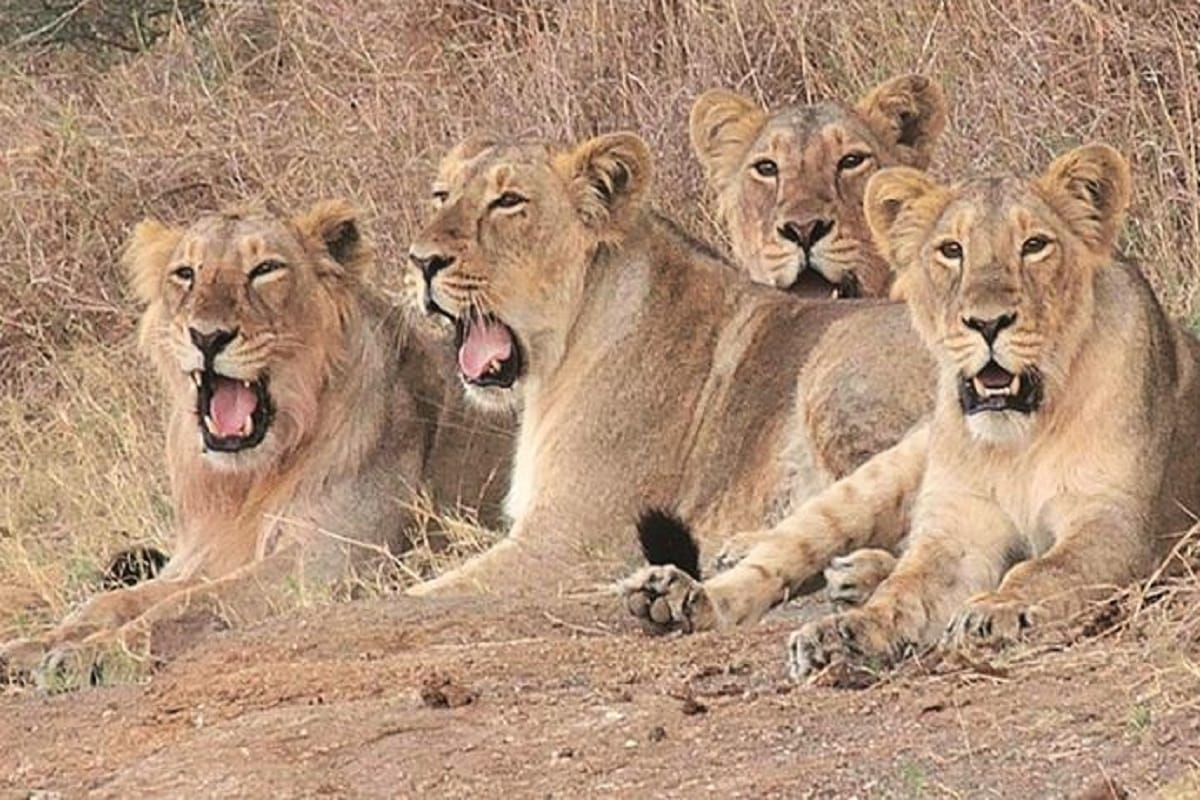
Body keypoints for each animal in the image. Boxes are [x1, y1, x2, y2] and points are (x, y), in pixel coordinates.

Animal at [0, 200, 510, 686]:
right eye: (185, 273)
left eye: (265, 269)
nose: (207, 336)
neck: (247, 479)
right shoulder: (205, 556)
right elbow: (114, 601)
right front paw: (31, 646)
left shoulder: (330, 559)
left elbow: (189, 603)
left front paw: (89, 655)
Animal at [403, 131, 933, 598]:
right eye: (441, 195)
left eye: (508, 201)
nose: (421, 261)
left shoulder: (572, 541)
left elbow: (421, 593)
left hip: (834, 360)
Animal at [621, 144, 1200, 679]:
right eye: (951, 250)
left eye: (1035, 245)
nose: (987, 323)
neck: (1021, 434)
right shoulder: (958, 527)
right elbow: (906, 590)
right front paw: (844, 636)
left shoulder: (1115, 522)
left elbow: (1045, 571)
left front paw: (997, 611)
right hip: (874, 479)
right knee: (781, 555)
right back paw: (680, 595)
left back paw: (852, 574)